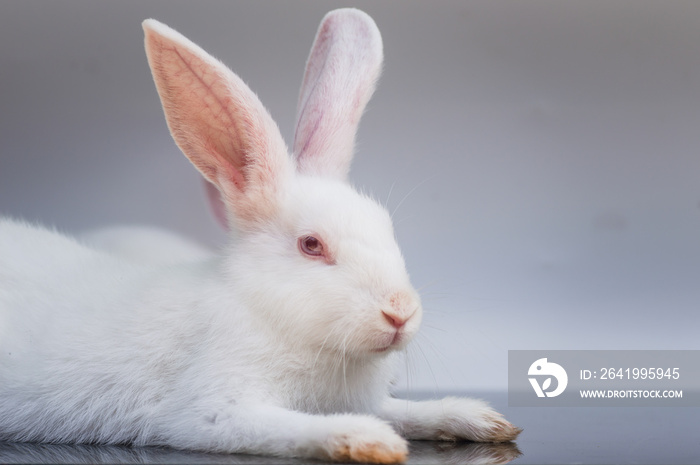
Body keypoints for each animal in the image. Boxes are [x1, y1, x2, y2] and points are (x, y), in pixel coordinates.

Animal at [0, 9, 520, 462]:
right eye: (311, 245)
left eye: (387, 228)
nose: (400, 312)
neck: (268, 311)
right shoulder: (212, 409)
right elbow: (285, 427)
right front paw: (368, 440)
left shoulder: (367, 398)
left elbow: (404, 411)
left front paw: (480, 419)